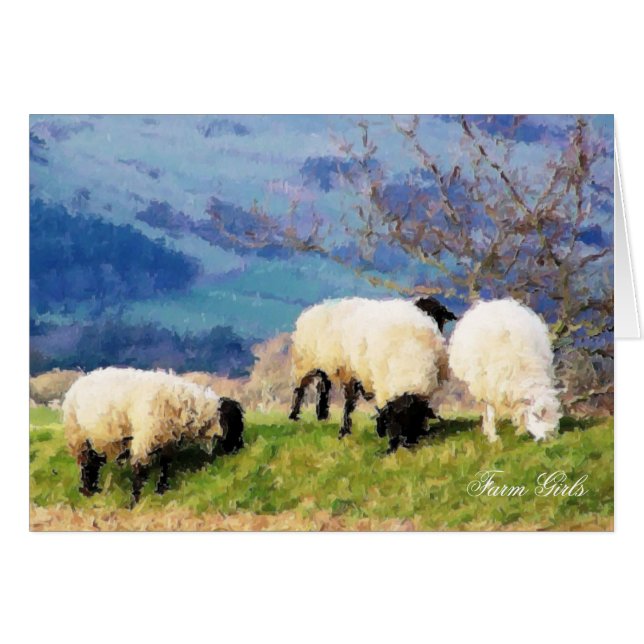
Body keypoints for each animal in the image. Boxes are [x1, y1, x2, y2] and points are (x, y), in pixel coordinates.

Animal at [62, 367, 244, 504]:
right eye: (236, 424)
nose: (240, 448)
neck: (180, 404)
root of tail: (79, 381)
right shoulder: (144, 438)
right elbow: (140, 471)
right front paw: (135, 501)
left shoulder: (167, 441)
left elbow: (165, 466)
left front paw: (161, 490)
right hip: (79, 437)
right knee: (86, 464)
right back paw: (87, 492)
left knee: (92, 463)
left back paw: (93, 490)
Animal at [289, 296, 456, 452]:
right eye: (392, 422)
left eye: (413, 421)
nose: (399, 447)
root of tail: (316, 307)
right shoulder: (354, 373)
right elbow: (349, 403)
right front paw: (344, 431)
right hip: (304, 361)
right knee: (300, 389)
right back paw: (294, 415)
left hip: (325, 364)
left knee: (323, 386)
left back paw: (322, 415)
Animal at [447, 298, 561, 442]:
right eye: (537, 415)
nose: (550, 439)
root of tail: (494, 302)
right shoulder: (490, 384)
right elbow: (490, 410)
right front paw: (492, 436)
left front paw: (520, 430)